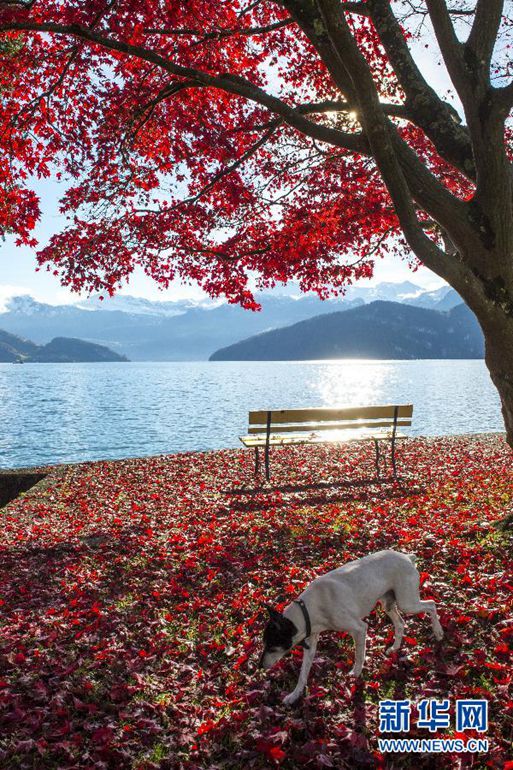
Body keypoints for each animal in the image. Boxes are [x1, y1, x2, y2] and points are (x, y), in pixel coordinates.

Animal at [258, 544, 442, 704]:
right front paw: (294, 695)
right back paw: (395, 648)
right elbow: (303, 674)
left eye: (272, 647)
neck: (309, 609)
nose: (260, 666)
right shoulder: (311, 643)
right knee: (401, 623)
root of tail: (407, 557)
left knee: (431, 604)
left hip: (407, 602)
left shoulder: (359, 629)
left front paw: (356, 673)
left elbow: (359, 655)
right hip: (388, 603)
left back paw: (438, 632)